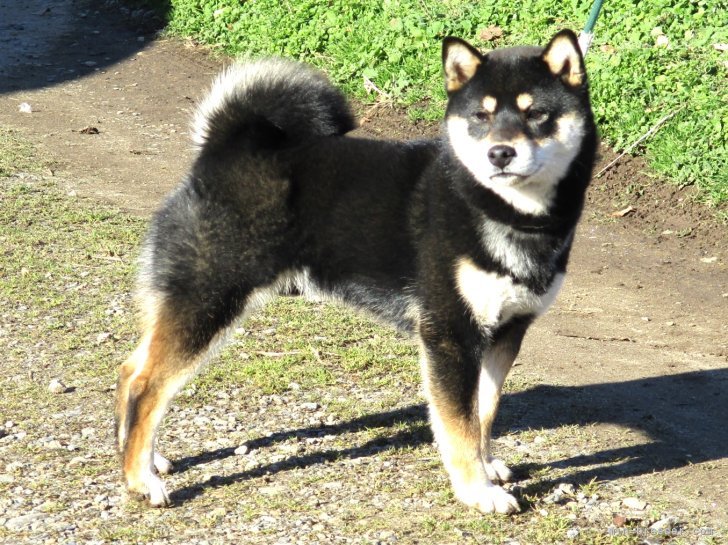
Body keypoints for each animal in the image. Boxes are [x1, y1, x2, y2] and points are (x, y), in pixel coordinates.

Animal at [116, 28, 596, 516]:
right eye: (482, 115)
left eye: (536, 114)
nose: (500, 153)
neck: (502, 211)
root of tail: (223, 147)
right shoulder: (450, 334)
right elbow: (459, 426)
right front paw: (478, 491)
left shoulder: (505, 333)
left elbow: (483, 412)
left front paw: (487, 465)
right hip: (208, 301)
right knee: (146, 384)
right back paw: (141, 480)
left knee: (129, 370)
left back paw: (145, 457)